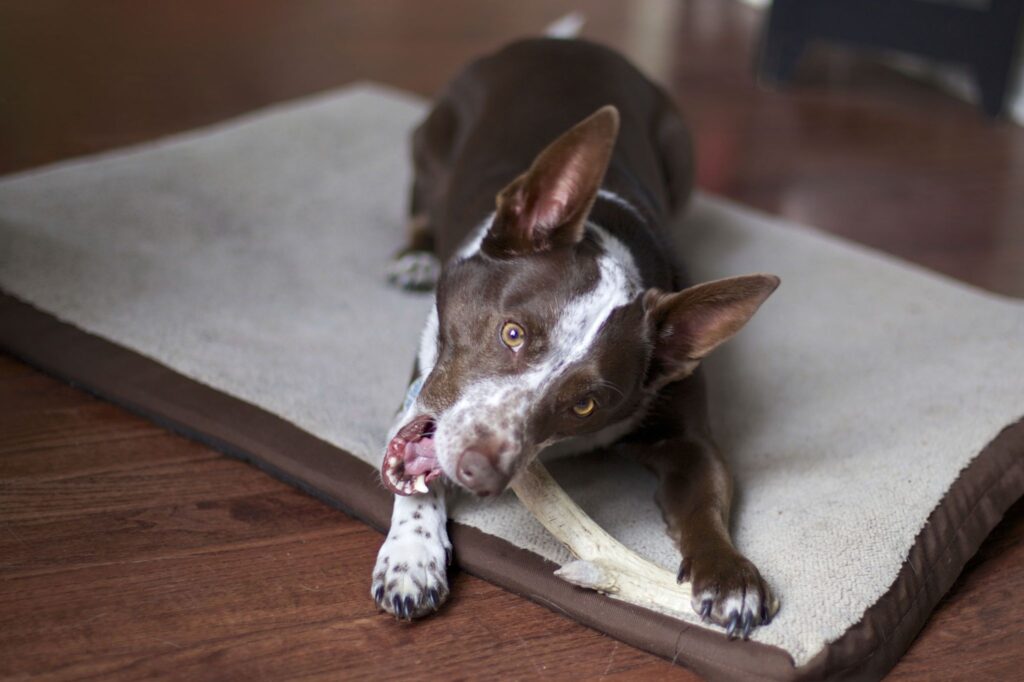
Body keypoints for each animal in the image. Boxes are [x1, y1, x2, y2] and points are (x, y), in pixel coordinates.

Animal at [372, 35, 778, 638]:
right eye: (512, 333)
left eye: (585, 404)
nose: (478, 471)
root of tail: (560, 40)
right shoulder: (422, 388)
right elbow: (416, 478)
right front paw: (410, 558)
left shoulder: (688, 438)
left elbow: (705, 500)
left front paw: (731, 577)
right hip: (432, 147)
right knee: (421, 206)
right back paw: (415, 255)